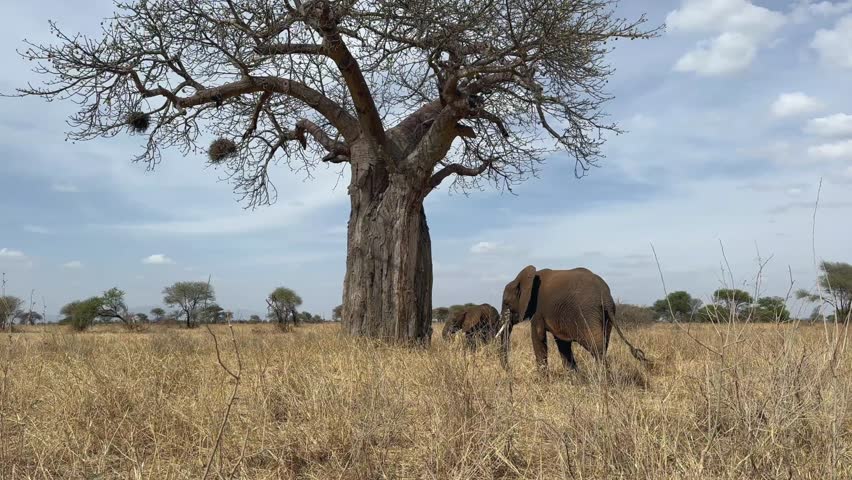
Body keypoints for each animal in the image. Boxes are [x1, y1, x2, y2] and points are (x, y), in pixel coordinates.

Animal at [495, 265, 647, 371]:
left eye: (506, 303)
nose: (509, 370)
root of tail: (605, 295)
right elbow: (563, 344)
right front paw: (574, 378)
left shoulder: (538, 310)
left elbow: (538, 337)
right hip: (606, 317)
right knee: (603, 344)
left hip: (587, 313)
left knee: (596, 348)